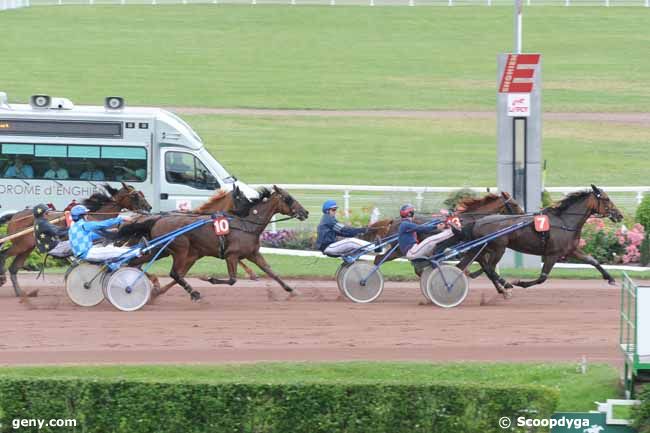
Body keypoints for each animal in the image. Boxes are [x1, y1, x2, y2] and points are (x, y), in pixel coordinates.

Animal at [0, 182, 151, 296]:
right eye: (135, 195)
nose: (148, 207)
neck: (96, 216)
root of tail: (15, 216)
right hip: (21, 245)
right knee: (4, 254)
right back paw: (2, 278)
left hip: (27, 247)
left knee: (14, 268)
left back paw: (20, 292)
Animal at [121, 186, 308, 300]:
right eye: (288, 198)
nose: (305, 212)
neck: (246, 225)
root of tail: (156, 219)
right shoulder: (231, 255)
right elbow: (232, 280)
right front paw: (208, 277)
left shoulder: (253, 254)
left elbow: (271, 272)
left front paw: (292, 290)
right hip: (180, 249)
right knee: (173, 273)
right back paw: (194, 294)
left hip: (161, 249)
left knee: (135, 263)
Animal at [460, 184, 624, 296]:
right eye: (606, 199)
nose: (620, 215)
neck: (565, 222)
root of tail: (477, 222)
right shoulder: (553, 254)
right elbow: (542, 278)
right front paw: (519, 282)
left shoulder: (571, 250)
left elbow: (593, 261)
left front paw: (610, 278)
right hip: (499, 248)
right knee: (489, 267)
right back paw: (505, 285)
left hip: (484, 248)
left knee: (478, 265)